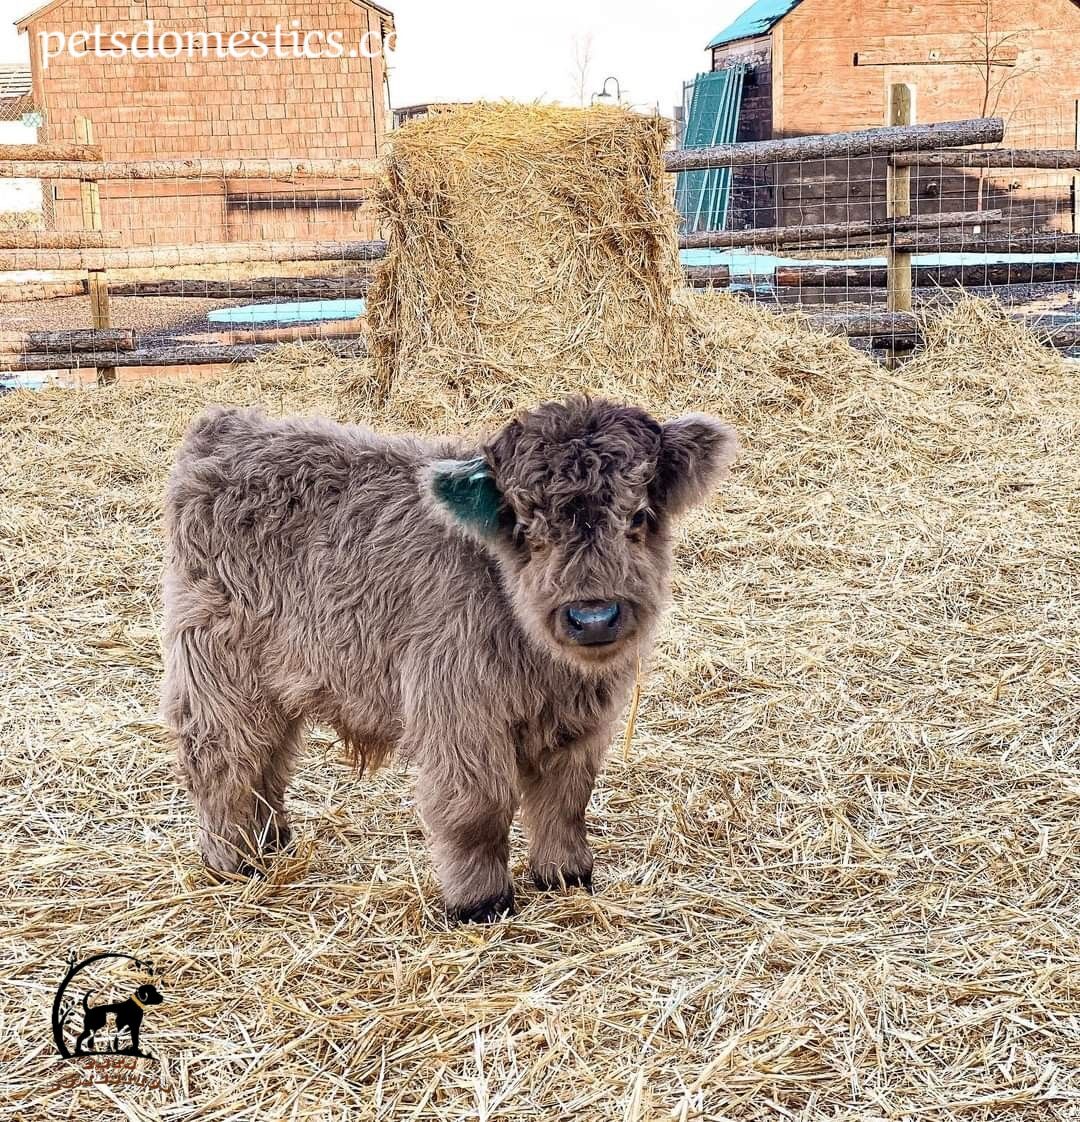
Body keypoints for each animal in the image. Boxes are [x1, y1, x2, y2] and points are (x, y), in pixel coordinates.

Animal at [160, 394, 740, 920]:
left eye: (638, 515)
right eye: (526, 526)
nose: (592, 616)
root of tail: (228, 428)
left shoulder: (581, 724)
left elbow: (566, 797)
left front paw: (566, 875)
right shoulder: (460, 714)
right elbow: (477, 809)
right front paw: (480, 901)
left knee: (270, 753)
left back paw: (271, 838)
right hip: (218, 666)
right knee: (219, 754)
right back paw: (233, 860)